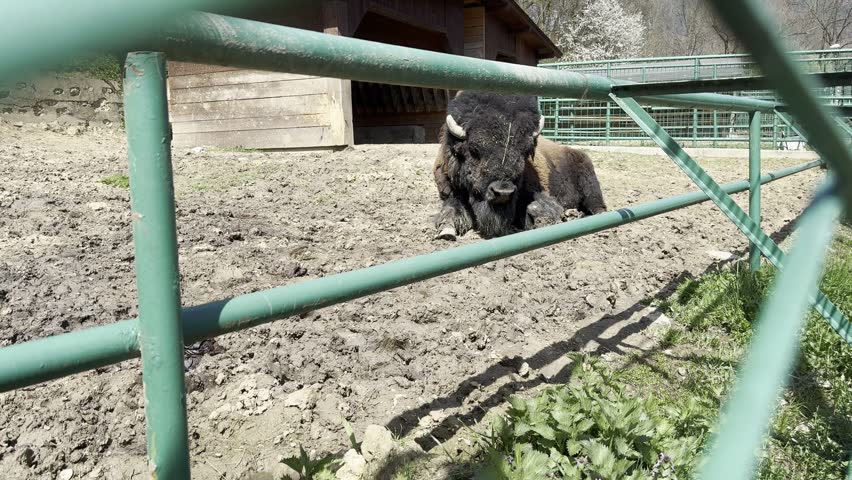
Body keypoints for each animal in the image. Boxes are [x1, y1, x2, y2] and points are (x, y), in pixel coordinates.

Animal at [432, 91, 607, 240]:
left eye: (524, 151)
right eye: (474, 150)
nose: (503, 192)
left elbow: (539, 205)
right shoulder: (451, 191)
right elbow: (452, 207)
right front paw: (446, 230)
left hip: (590, 184)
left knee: (598, 206)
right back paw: (573, 213)